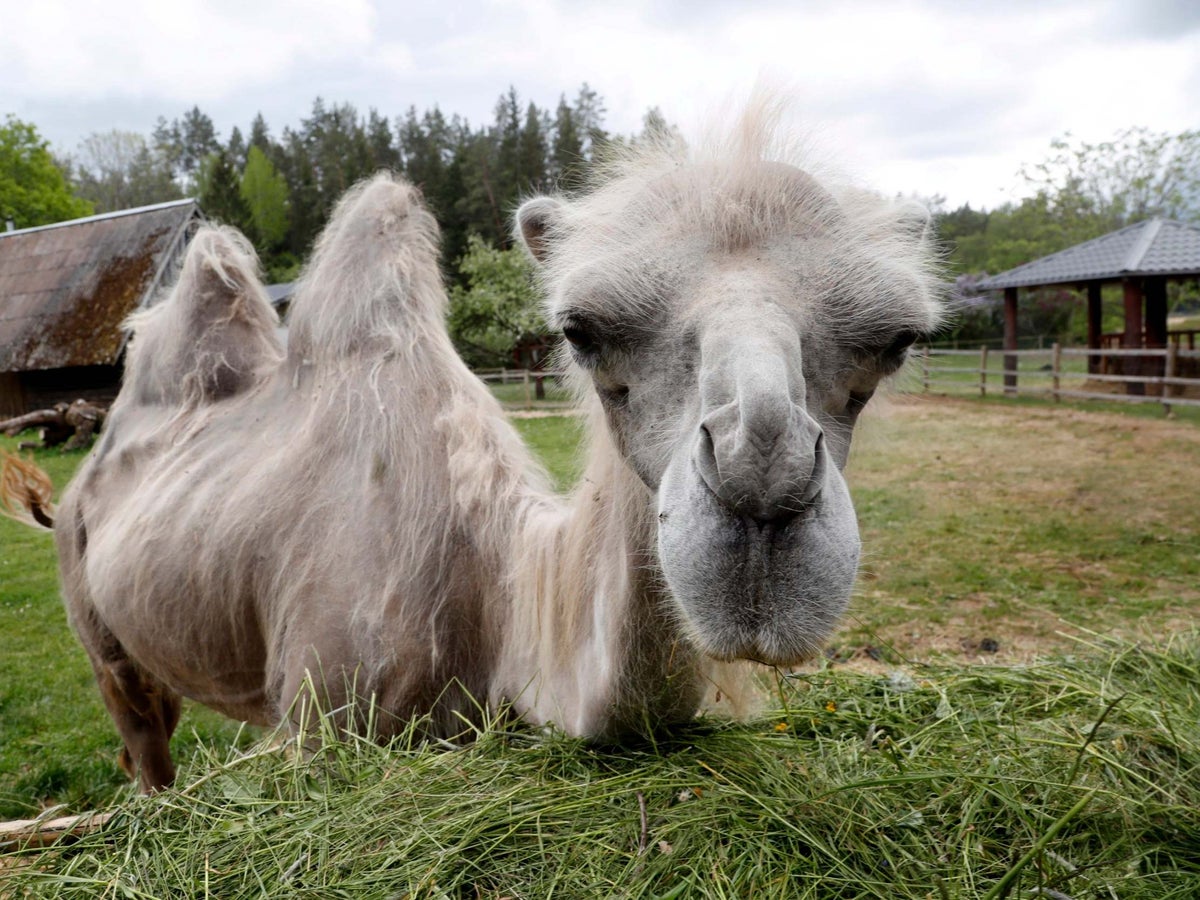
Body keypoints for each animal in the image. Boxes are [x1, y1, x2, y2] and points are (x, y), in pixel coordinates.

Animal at [2, 97, 945, 787]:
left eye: (896, 341)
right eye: (581, 330)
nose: (764, 489)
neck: (494, 600)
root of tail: (78, 482)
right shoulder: (315, 722)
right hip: (97, 622)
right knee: (142, 741)